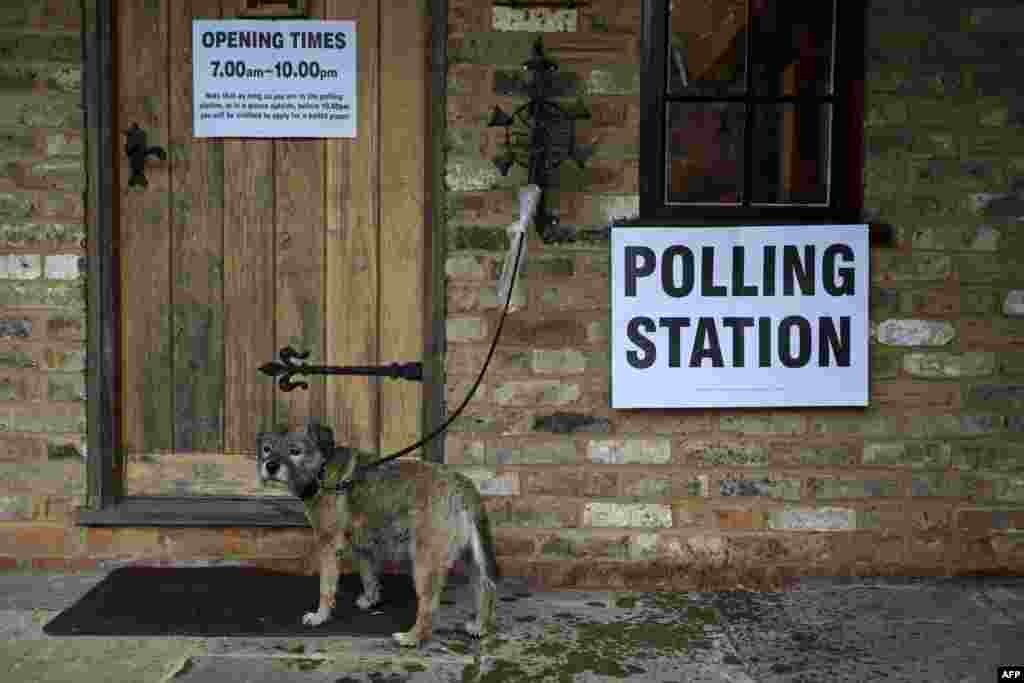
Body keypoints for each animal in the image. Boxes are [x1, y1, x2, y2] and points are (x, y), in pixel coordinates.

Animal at [254, 419, 495, 651]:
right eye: (267, 449)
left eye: (295, 451)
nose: (271, 466)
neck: (322, 469)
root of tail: (460, 485)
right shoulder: (363, 546)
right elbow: (368, 575)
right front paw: (370, 600)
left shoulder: (328, 544)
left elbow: (326, 587)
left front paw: (320, 616)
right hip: (471, 557)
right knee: (485, 587)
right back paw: (479, 626)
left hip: (426, 563)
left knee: (429, 604)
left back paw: (413, 637)